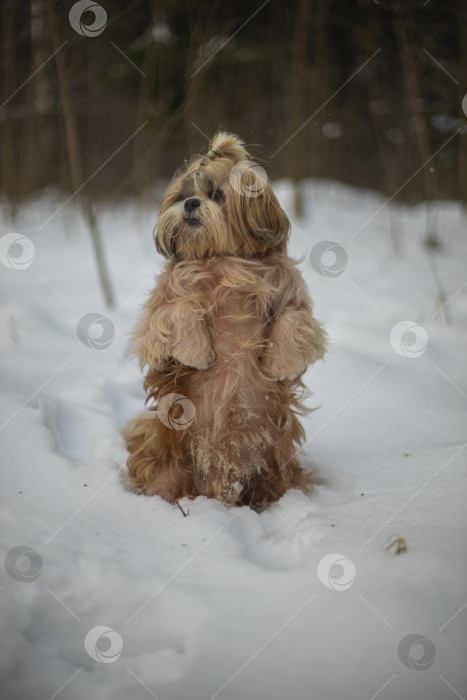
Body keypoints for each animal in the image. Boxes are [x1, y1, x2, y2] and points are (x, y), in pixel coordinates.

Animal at [125, 133, 330, 508]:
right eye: (181, 195)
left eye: (216, 195)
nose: (191, 203)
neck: (221, 260)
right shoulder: (159, 314)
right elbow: (174, 311)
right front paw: (195, 352)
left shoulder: (289, 292)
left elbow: (294, 317)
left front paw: (279, 363)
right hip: (169, 462)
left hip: (275, 468)